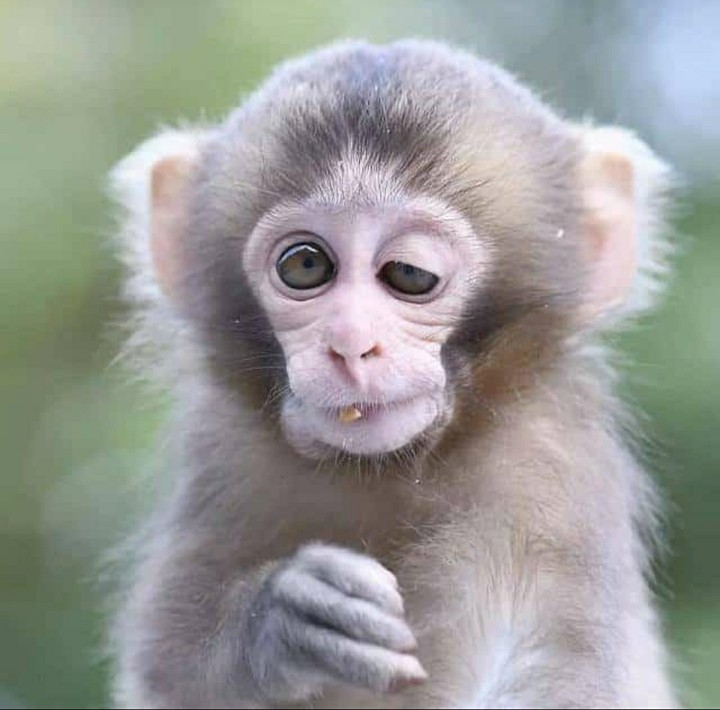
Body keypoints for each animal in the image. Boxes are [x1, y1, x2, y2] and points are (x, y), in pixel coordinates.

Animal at [108, 40, 678, 709]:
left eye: (409, 273)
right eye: (305, 265)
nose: (352, 343)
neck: (390, 469)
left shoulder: (548, 469)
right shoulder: (222, 448)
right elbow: (166, 662)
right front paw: (283, 623)